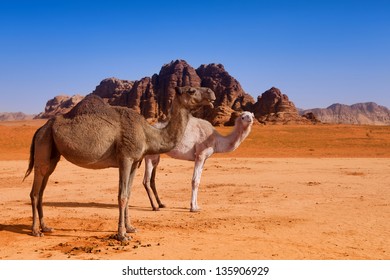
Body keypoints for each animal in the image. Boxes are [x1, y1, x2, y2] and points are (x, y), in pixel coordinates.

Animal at [23, 86, 216, 241]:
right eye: (191, 90)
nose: (211, 93)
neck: (148, 134)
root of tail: (40, 128)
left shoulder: (135, 162)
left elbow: (129, 194)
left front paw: (131, 228)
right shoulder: (126, 158)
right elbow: (122, 196)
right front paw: (122, 235)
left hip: (52, 155)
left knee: (42, 189)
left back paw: (46, 227)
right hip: (43, 145)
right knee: (35, 192)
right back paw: (35, 231)